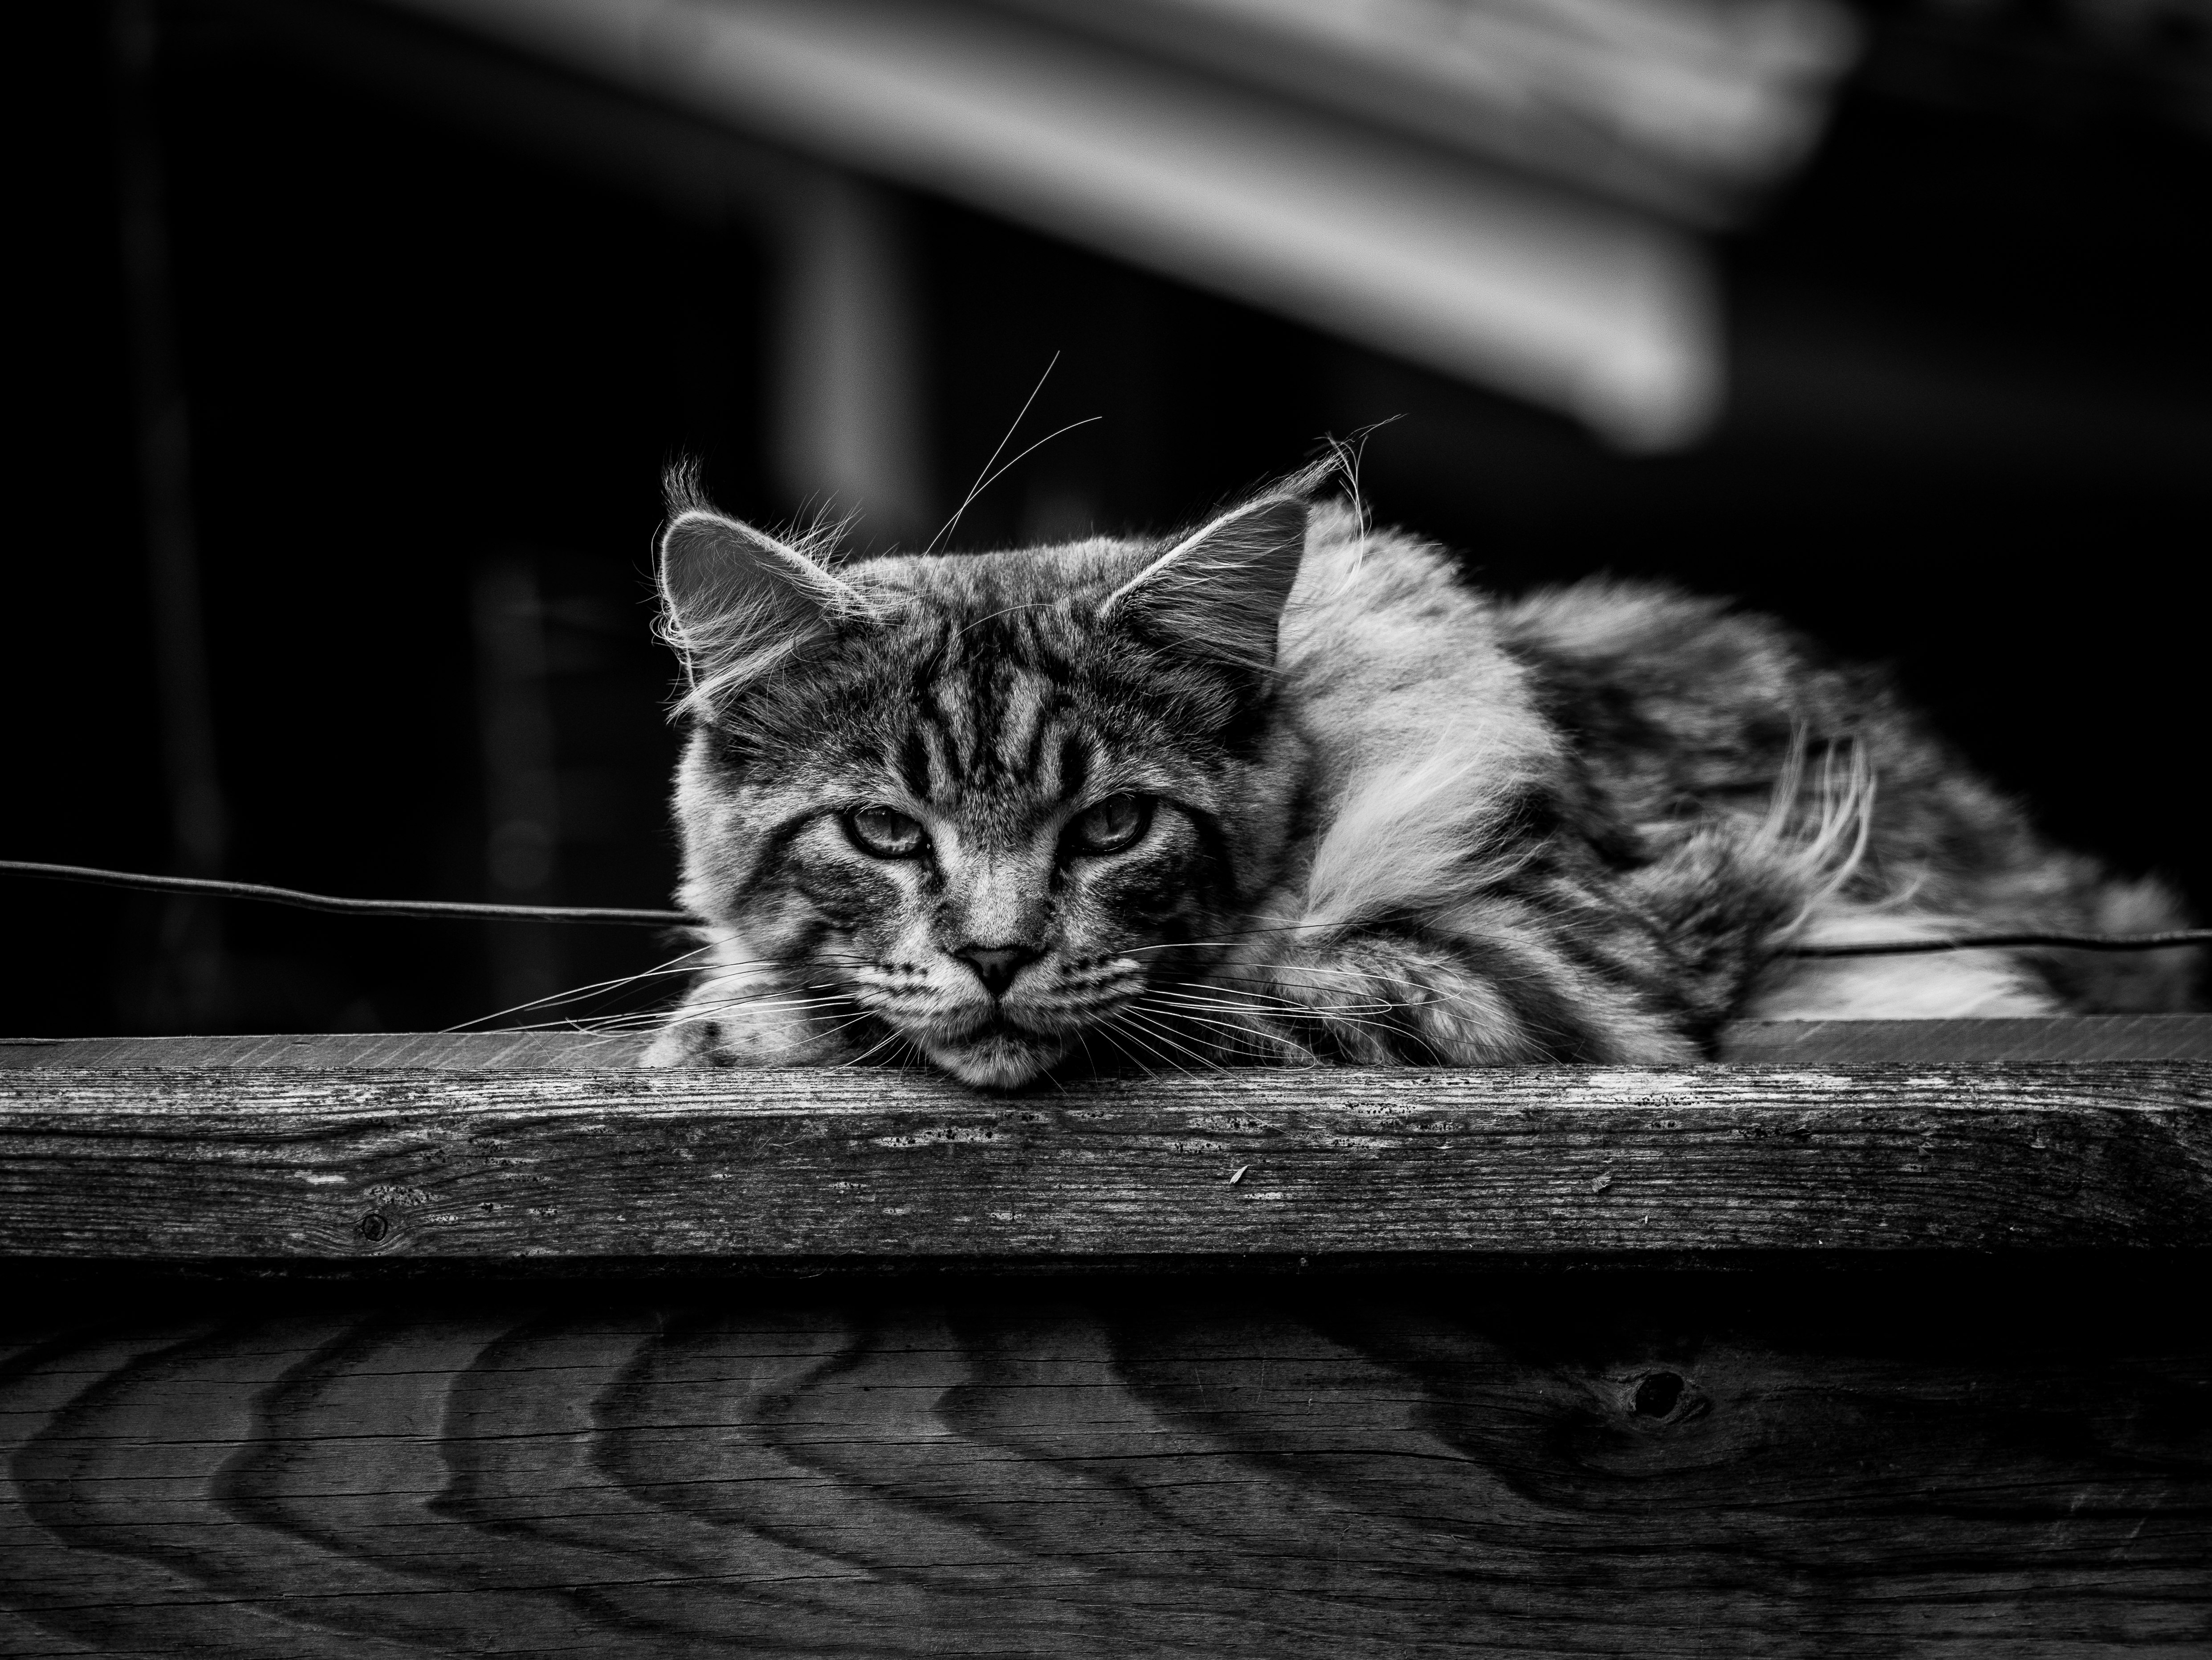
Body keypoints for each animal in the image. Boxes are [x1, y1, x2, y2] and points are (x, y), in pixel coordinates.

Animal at [641, 465, 2194, 1093]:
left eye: (1112, 824)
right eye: (881, 831)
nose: (997, 955)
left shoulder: (1546, 957)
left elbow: (1234, 1000)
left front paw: (743, 1027)